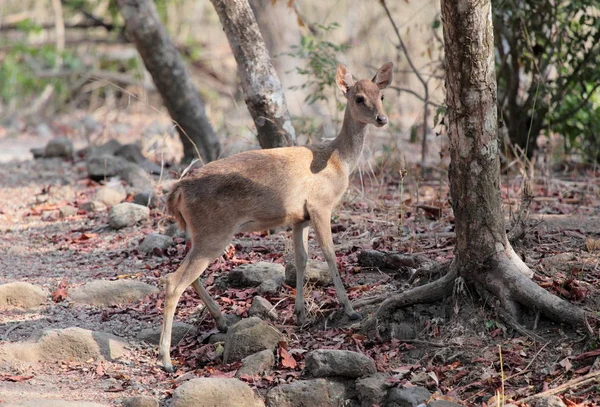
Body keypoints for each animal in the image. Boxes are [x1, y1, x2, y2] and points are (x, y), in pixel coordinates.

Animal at [159, 61, 394, 372]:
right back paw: (166, 359)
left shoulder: (299, 218)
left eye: (381, 95)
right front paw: (351, 310)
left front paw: (300, 314)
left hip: (200, 233)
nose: (382, 118)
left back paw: (222, 321)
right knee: (173, 281)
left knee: (189, 276)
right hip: (213, 232)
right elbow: (330, 255)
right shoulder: (320, 205)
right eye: (358, 98)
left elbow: (301, 260)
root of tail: (178, 190)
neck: (337, 160)